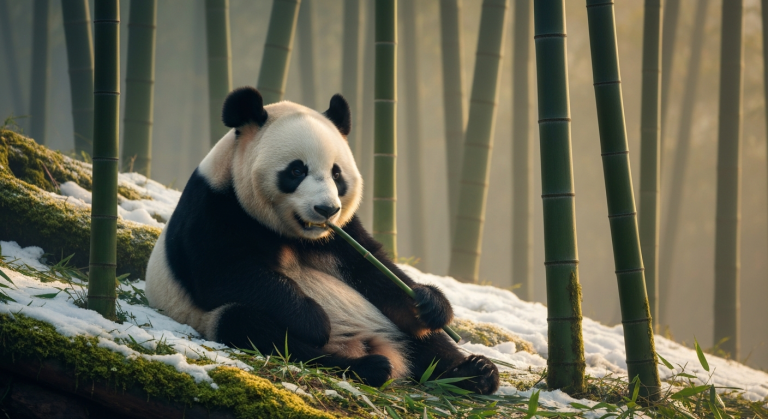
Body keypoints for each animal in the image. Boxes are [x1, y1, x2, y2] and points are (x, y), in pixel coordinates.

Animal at [145, 86, 499, 394]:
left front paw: (429, 303)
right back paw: (370, 366)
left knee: (426, 341)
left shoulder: (341, 234)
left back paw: (476, 372)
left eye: (336, 174)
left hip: (386, 322)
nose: (326, 209)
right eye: (296, 170)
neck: (294, 233)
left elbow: (374, 269)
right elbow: (225, 273)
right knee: (257, 329)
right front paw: (315, 319)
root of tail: (370, 344)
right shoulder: (214, 209)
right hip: (217, 319)